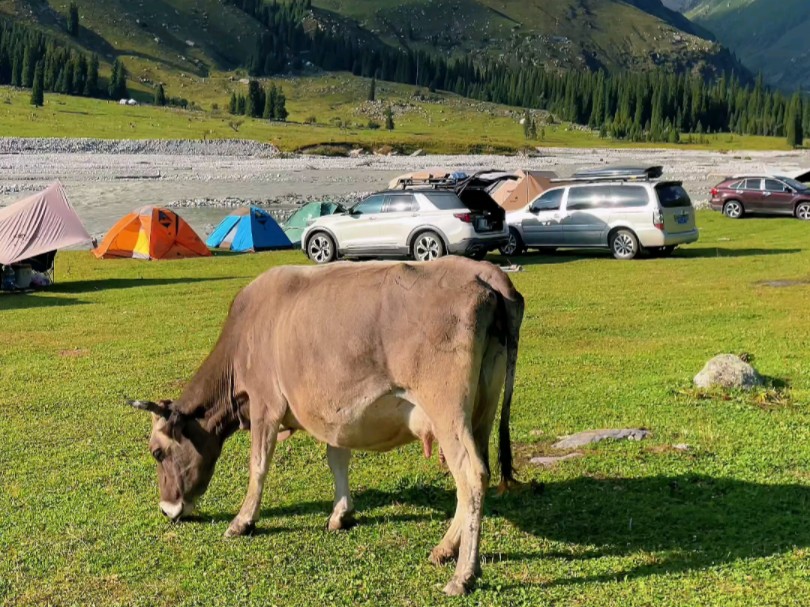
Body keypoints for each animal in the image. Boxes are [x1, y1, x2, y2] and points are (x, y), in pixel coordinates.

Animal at [129, 255, 520, 592]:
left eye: (157, 453)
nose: (167, 509)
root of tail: (483, 271)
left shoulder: (265, 403)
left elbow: (258, 465)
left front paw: (242, 521)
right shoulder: (337, 411)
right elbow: (337, 459)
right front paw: (341, 514)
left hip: (446, 409)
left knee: (470, 475)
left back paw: (463, 575)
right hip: (482, 408)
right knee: (477, 473)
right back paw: (445, 549)